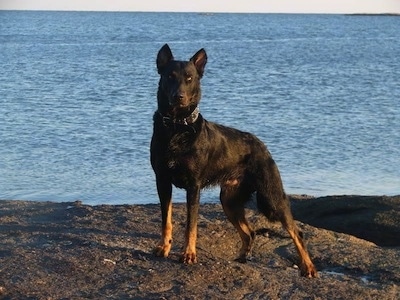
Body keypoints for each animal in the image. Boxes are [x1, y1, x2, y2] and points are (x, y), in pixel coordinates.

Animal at [149, 43, 316, 278]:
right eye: (170, 76)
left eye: (189, 78)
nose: (178, 96)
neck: (177, 127)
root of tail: (261, 144)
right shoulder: (162, 181)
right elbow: (167, 220)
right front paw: (164, 247)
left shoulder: (193, 186)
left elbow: (191, 225)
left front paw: (189, 254)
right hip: (229, 201)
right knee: (250, 232)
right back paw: (242, 258)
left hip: (272, 197)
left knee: (295, 231)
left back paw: (308, 266)